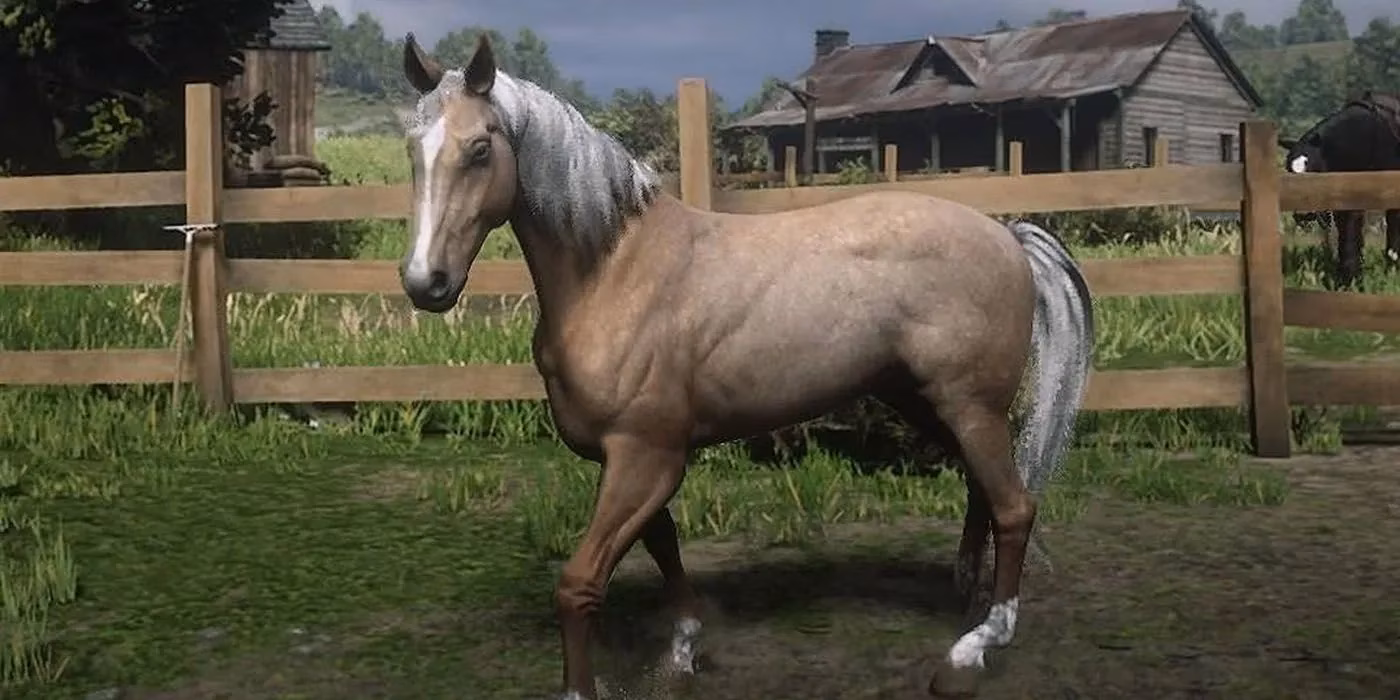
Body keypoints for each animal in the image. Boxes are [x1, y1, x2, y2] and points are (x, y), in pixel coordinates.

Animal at [396, 32, 1095, 699]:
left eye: (479, 149)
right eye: (412, 150)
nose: (426, 283)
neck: (615, 272)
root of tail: (1006, 235)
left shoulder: (644, 457)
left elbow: (579, 585)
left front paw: (581, 686)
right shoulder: (635, 458)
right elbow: (664, 547)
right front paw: (683, 651)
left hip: (971, 407)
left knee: (1015, 507)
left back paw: (973, 649)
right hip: (927, 403)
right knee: (984, 492)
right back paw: (966, 601)